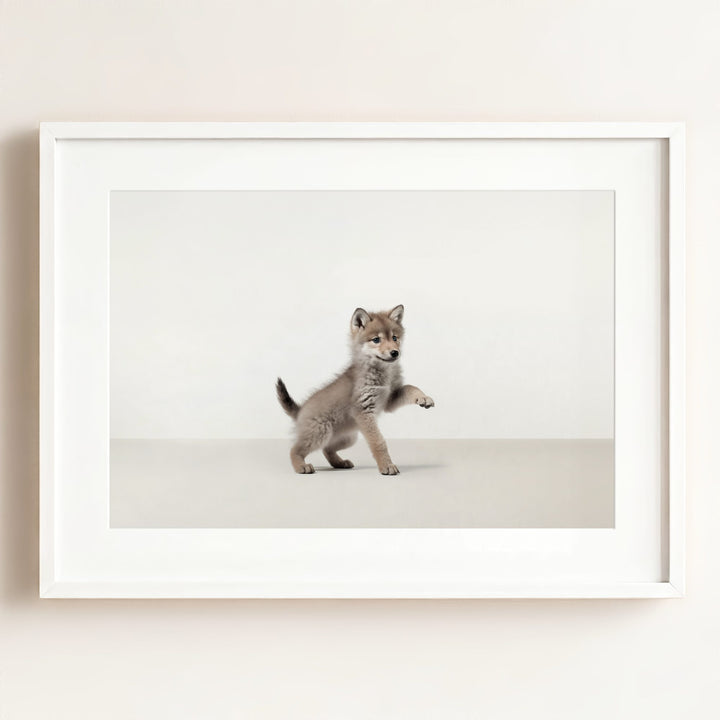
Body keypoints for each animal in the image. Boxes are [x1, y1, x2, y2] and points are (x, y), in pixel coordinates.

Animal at [275, 304, 434, 475]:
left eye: (394, 338)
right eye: (376, 340)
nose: (395, 352)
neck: (382, 373)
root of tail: (300, 410)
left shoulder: (390, 399)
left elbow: (411, 387)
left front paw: (423, 398)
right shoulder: (364, 411)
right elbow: (378, 442)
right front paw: (386, 465)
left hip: (348, 438)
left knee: (327, 449)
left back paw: (339, 463)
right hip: (320, 433)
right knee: (295, 449)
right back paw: (301, 466)